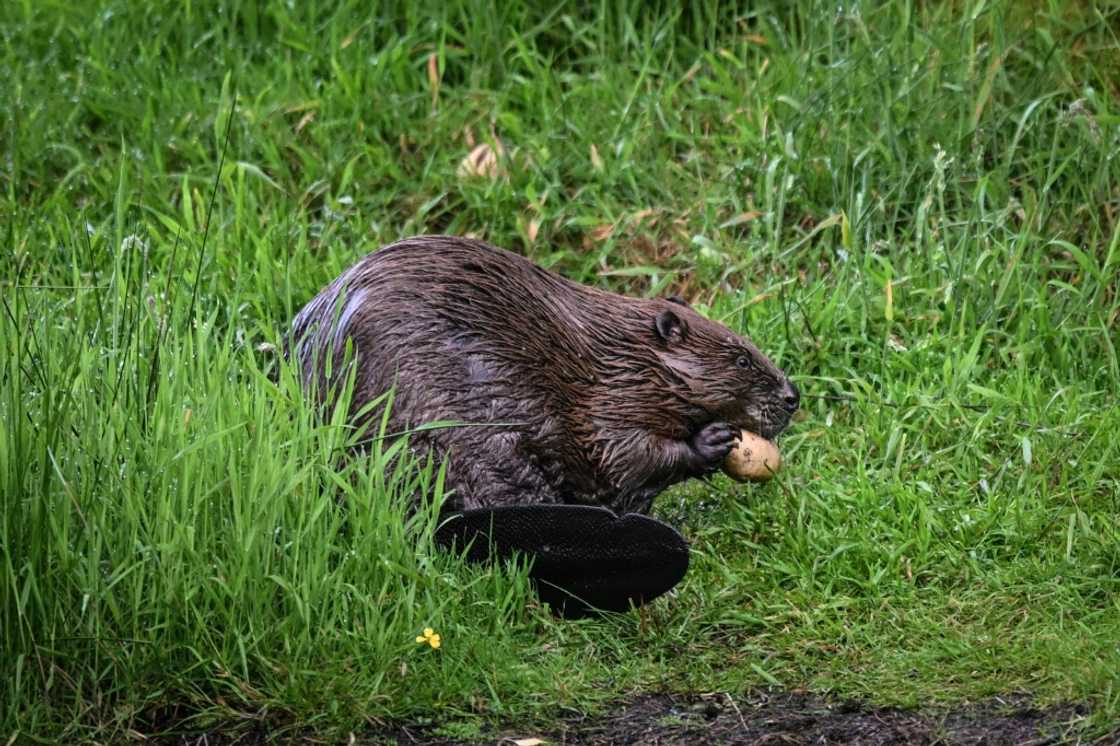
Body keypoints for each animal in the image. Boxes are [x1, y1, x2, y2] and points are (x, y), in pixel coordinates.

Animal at [288, 235, 797, 515]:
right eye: (742, 359)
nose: (793, 396)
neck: (620, 355)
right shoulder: (605, 401)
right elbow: (620, 454)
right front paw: (713, 439)